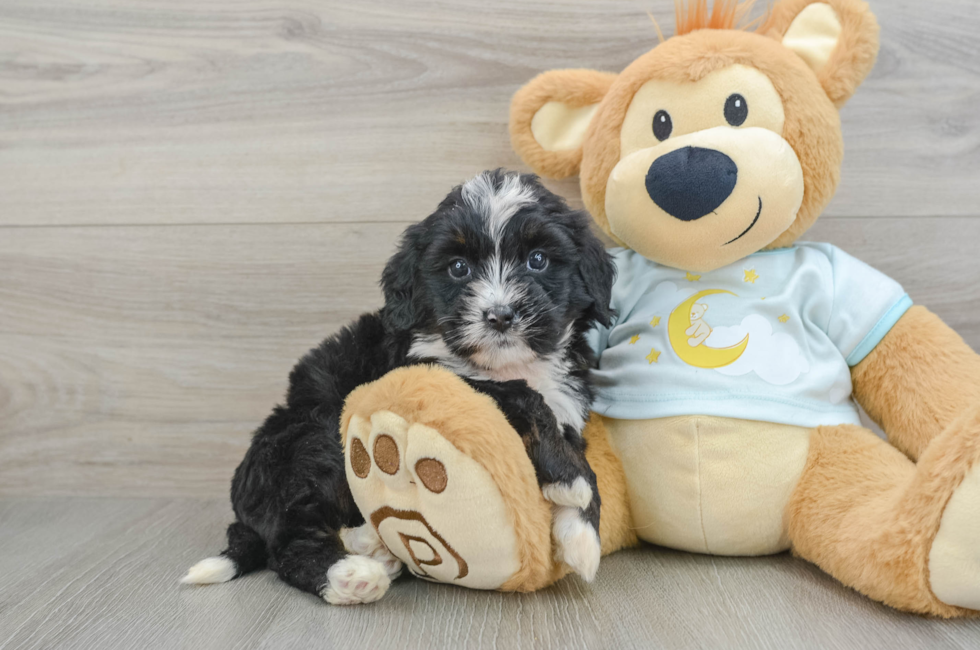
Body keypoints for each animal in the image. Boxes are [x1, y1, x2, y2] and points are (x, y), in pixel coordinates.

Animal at [183, 168, 612, 604]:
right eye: (458, 268)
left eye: (537, 260)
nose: (500, 315)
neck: (506, 365)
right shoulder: (423, 374)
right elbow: (523, 396)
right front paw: (572, 484)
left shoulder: (566, 404)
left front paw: (580, 530)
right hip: (315, 442)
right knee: (289, 540)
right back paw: (351, 574)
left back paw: (373, 547)